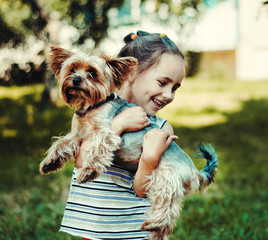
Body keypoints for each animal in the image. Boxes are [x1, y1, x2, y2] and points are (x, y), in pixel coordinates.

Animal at [40, 47, 219, 240]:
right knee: (170, 212)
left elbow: (97, 150)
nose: (76, 79)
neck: (92, 105)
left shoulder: (105, 132)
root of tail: (195, 172)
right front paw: (50, 162)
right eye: (72, 69)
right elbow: (61, 144)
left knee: (166, 205)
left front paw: (88, 171)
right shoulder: (77, 135)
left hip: (165, 176)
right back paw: (155, 230)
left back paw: (155, 223)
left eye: (92, 73)